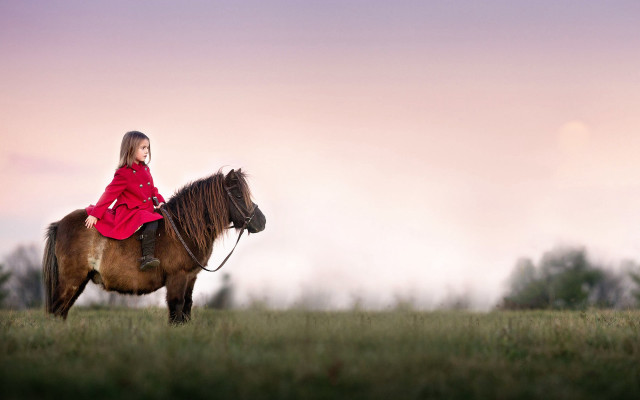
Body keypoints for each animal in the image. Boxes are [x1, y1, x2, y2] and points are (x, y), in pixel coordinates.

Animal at [42, 168, 266, 324]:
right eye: (238, 196)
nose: (261, 222)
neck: (183, 228)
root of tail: (60, 224)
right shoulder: (177, 277)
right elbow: (176, 310)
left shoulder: (190, 278)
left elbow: (186, 308)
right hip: (71, 280)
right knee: (57, 309)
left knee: (61, 312)